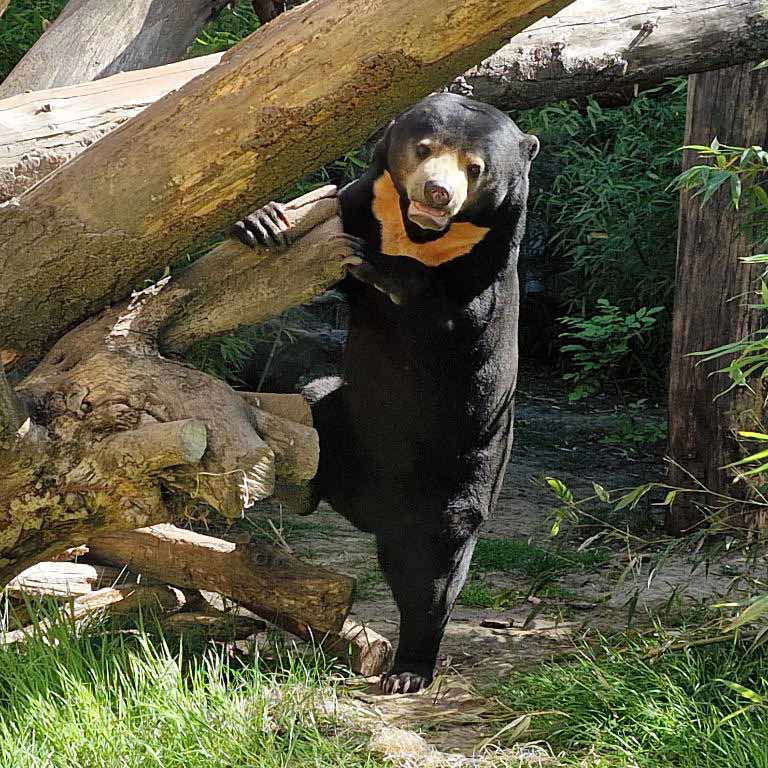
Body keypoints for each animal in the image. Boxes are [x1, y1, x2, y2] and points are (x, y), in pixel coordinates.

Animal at [233, 93, 539, 694]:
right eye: (423, 148)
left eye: (476, 168)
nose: (437, 192)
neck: (419, 234)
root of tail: (374, 511)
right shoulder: (360, 204)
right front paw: (262, 220)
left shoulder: (483, 272)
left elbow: (452, 314)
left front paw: (376, 265)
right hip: (342, 415)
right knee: (314, 410)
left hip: (459, 483)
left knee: (431, 579)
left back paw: (409, 671)